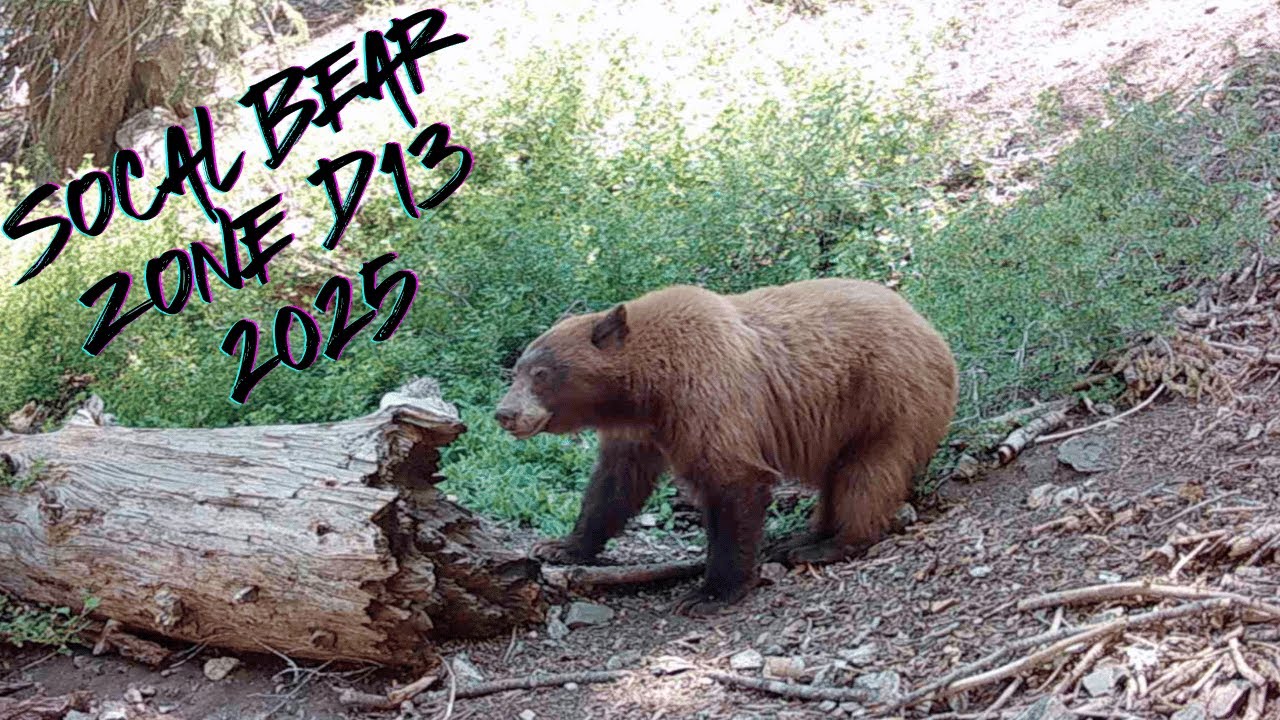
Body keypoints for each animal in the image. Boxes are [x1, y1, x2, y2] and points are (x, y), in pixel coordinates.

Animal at [494, 278, 958, 616]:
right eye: (517, 370)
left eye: (542, 374)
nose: (505, 413)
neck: (647, 389)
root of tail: (932, 330)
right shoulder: (640, 431)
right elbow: (614, 485)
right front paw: (561, 545)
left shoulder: (708, 395)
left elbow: (734, 481)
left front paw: (710, 593)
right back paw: (803, 536)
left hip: (886, 399)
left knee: (869, 474)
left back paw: (829, 544)